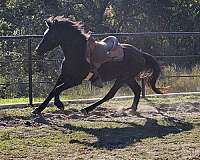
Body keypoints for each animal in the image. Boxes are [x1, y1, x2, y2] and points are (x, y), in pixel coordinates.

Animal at [32, 16, 162, 115]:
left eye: (50, 35)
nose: (38, 50)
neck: (77, 52)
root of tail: (141, 54)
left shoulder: (76, 80)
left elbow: (57, 89)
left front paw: (59, 104)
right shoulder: (64, 75)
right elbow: (53, 90)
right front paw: (38, 109)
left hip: (122, 78)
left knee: (110, 95)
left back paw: (87, 109)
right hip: (128, 78)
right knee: (137, 90)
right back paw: (132, 109)